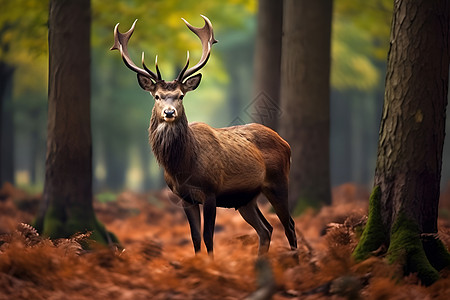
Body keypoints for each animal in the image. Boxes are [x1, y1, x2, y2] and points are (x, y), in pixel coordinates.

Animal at [110, 15, 298, 255]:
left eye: (180, 96)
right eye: (157, 96)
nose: (169, 112)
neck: (183, 166)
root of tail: (286, 143)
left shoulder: (210, 191)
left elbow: (208, 237)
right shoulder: (184, 197)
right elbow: (195, 238)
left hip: (278, 182)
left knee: (289, 225)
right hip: (246, 199)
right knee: (266, 229)